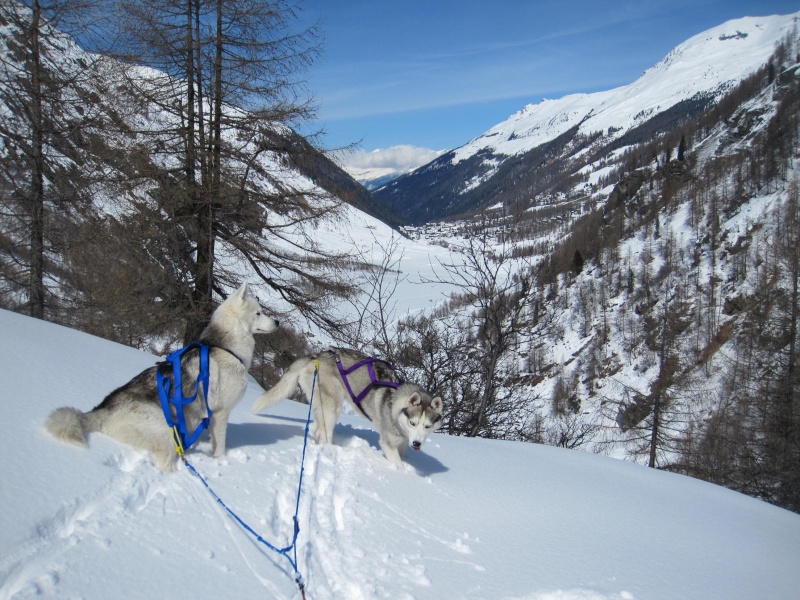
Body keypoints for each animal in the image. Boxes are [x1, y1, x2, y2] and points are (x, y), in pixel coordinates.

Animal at [46, 284, 282, 472]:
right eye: (259, 313)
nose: (278, 322)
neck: (226, 347)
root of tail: (101, 410)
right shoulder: (220, 413)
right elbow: (220, 447)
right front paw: (220, 461)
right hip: (164, 431)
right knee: (165, 462)